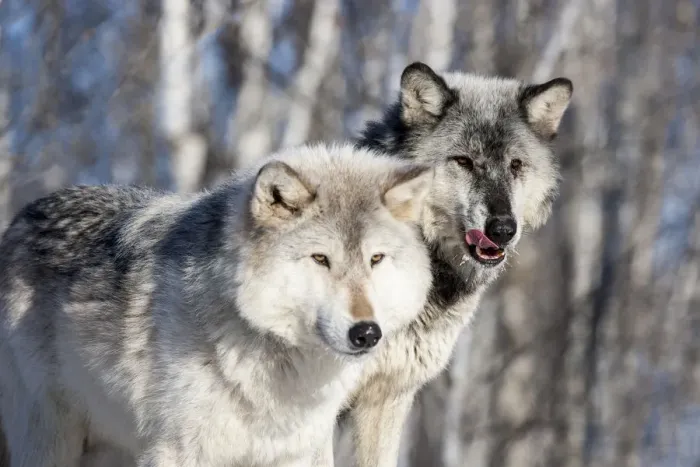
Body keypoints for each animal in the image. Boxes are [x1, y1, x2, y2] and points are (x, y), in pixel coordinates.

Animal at [0, 142, 435, 467]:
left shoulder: (293, 453)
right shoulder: (177, 451)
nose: (366, 332)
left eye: (376, 259)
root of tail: (22, 217)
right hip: (51, 438)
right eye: (320, 259)